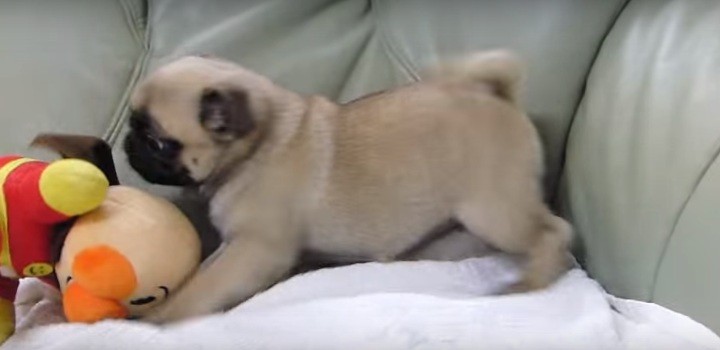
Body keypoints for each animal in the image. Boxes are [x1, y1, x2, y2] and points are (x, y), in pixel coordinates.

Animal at [125, 51, 572, 322]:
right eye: (134, 123)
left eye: (159, 141)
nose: (129, 143)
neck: (257, 146)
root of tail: (499, 97)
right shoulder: (234, 246)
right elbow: (202, 272)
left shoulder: (255, 251)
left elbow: (205, 287)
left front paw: (162, 319)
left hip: (494, 210)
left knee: (555, 231)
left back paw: (532, 282)